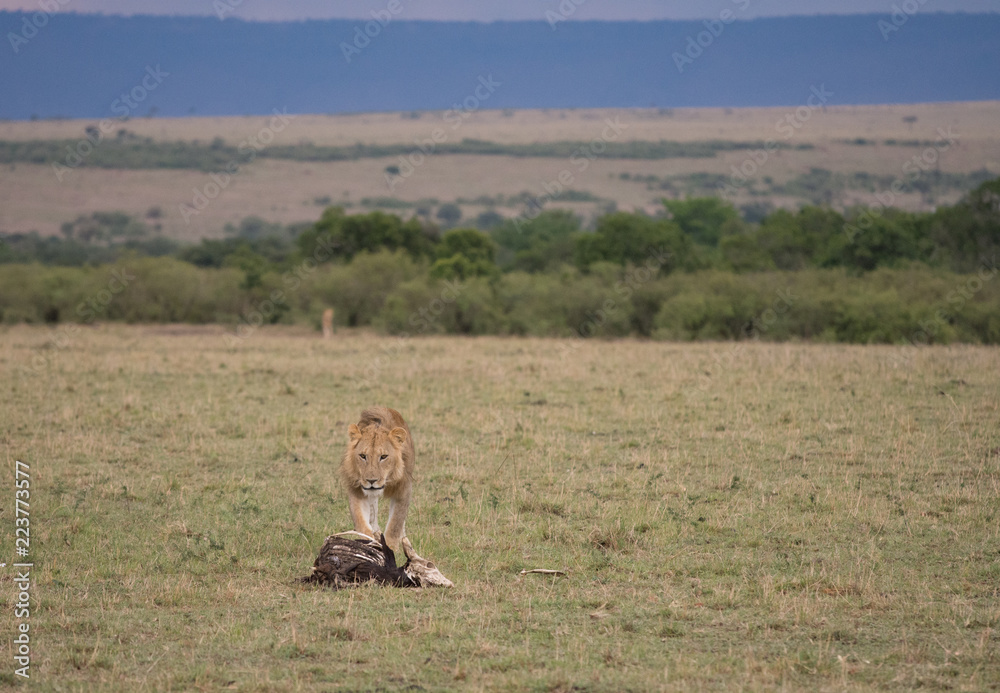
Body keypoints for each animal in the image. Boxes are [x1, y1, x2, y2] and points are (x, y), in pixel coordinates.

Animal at [339, 406, 414, 552]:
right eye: (363, 456)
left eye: (384, 456)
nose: (371, 481)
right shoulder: (357, 489)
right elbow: (361, 522)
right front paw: (369, 542)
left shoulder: (404, 489)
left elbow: (395, 524)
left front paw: (391, 549)